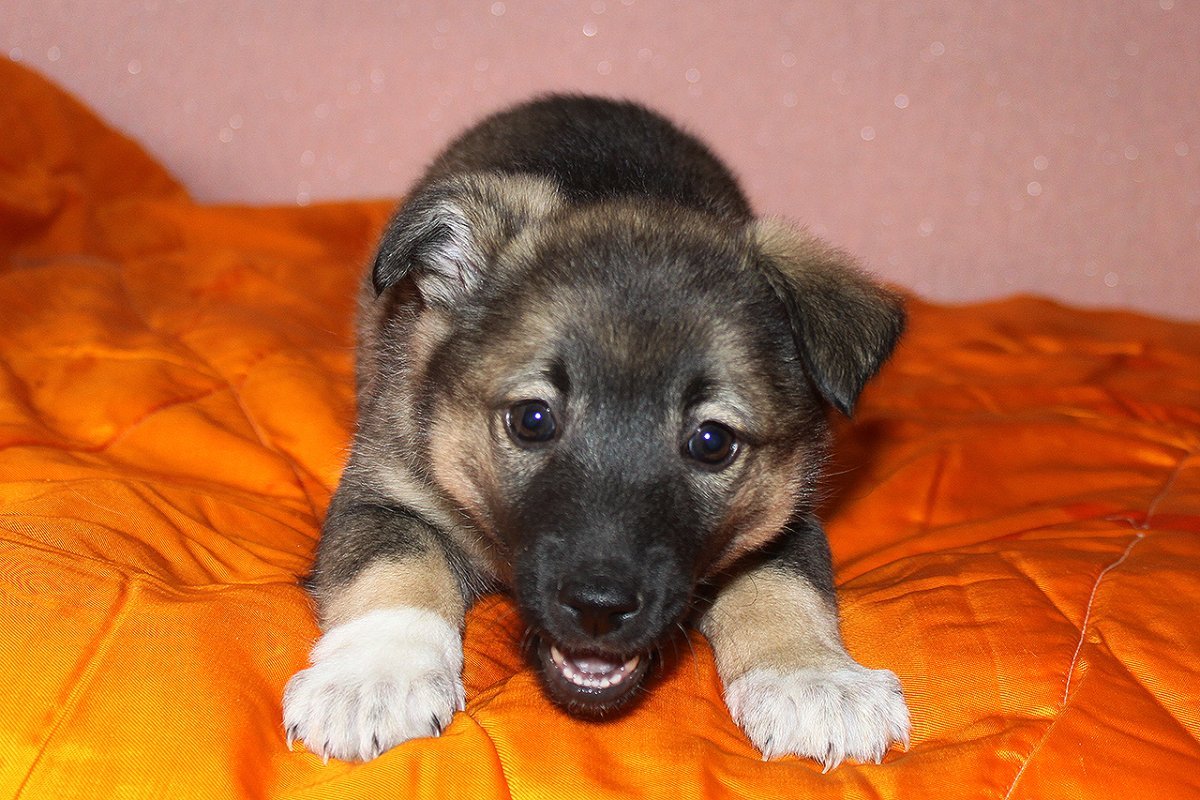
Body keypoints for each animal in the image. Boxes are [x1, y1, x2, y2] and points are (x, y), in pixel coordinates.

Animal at [282, 94, 911, 768]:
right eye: (533, 420)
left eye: (712, 442)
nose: (599, 611)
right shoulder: (385, 493)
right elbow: (394, 571)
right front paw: (377, 676)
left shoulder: (788, 520)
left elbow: (786, 590)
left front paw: (813, 677)